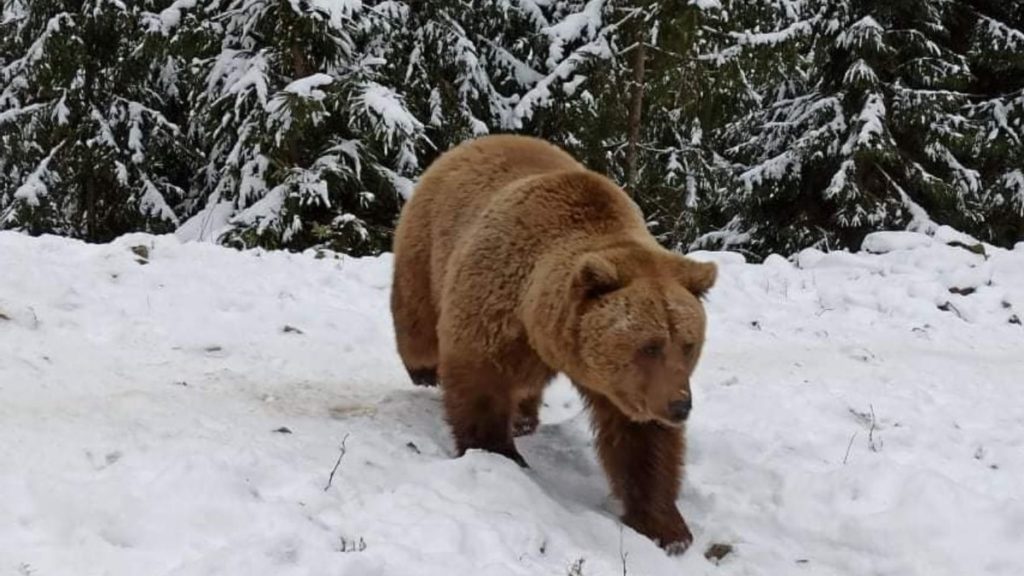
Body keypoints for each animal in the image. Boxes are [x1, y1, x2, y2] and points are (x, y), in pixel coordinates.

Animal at [387, 133, 716, 553]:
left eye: (688, 344)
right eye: (650, 345)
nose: (679, 405)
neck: (534, 313)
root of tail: (476, 142)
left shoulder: (621, 385)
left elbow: (643, 444)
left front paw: (666, 526)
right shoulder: (496, 306)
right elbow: (480, 381)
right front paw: (498, 453)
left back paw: (525, 416)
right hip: (428, 242)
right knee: (418, 319)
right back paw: (426, 371)